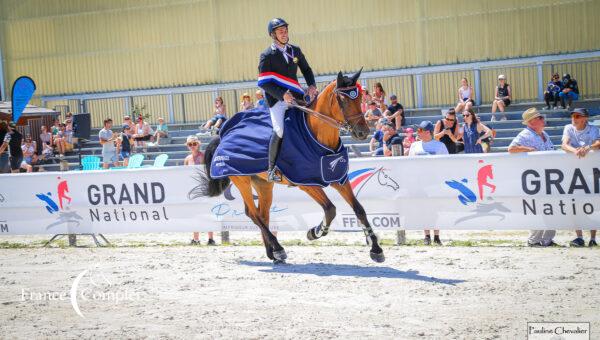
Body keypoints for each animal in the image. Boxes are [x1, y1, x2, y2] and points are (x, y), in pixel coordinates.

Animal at [197, 69, 384, 264]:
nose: (362, 132)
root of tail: (223, 135)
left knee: (262, 213)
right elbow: (330, 210)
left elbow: (359, 209)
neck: (317, 135)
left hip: (263, 184)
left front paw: (376, 249)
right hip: (241, 180)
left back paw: (272, 252)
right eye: (343, 99)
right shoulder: (306, 183)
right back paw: (278, 249)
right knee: (253, 214)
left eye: (360, 97)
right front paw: (314, 232)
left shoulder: (338, 178)